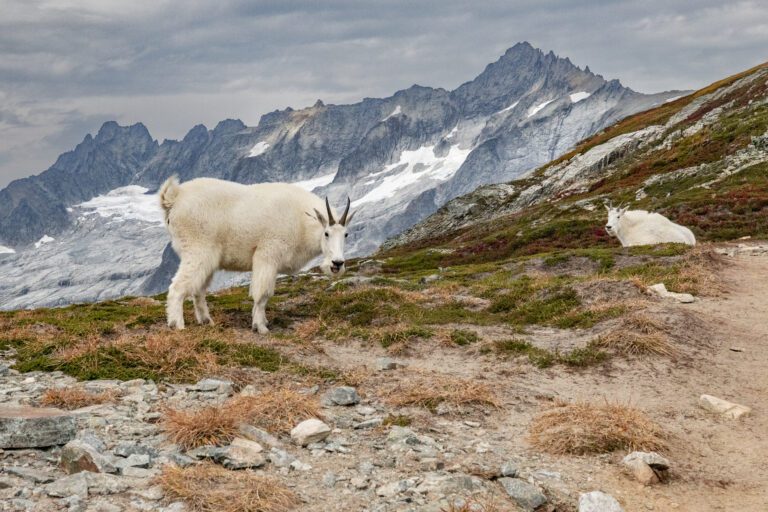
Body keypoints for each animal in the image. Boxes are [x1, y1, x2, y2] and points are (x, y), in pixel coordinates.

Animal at [160, 178, 358, 334]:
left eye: (346, 234)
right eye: (326, 233)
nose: (337, 263)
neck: (302, 222)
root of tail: (175, 198)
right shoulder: (267, 254)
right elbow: (263, 293)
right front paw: (260, 326)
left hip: (209, 258)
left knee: (198, 290)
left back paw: (207, 322)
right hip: (198, 250)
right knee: (177, 287)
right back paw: (177, 325)